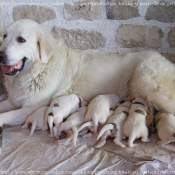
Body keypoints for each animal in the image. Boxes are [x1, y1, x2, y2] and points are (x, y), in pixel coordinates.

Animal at [0, 18, 175, 126]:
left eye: (21, 40)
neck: (35, 72)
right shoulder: (13, 101)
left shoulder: (29, 109)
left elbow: (5, 116)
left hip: (148, 85)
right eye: (4, 36)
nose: (0, 54)